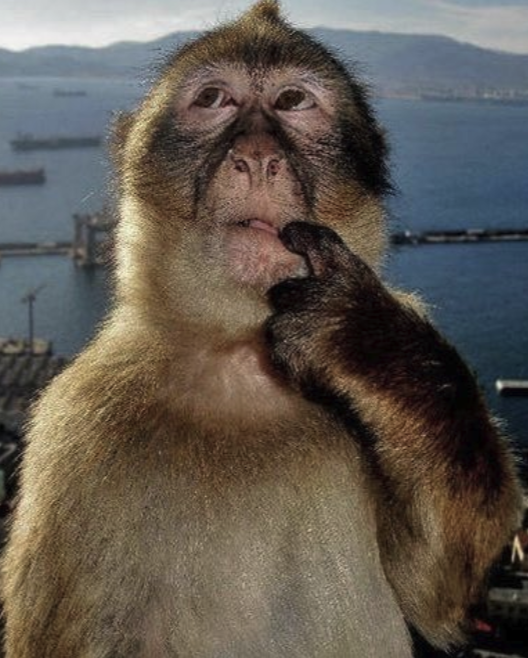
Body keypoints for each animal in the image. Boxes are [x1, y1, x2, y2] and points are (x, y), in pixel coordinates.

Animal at [1, 1, 522, 656]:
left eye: (293, 100)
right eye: (214, 99)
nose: (254, 157)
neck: (240, 359)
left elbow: (438, 591)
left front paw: (365, 339)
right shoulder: (76, 431)